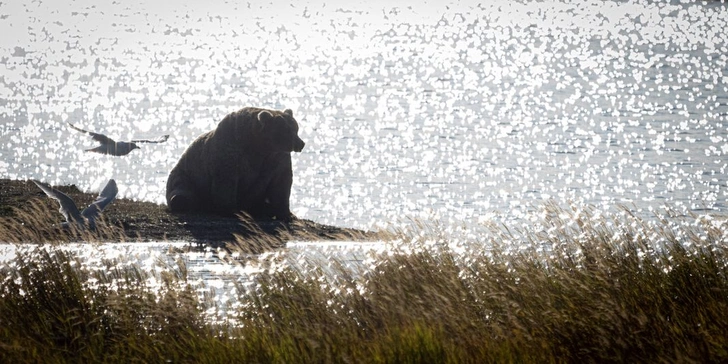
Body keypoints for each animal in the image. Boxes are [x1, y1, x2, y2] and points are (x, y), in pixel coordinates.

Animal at [166, 106, 306, 220]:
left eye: (296, 128)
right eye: (286, 130)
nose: (301, 143)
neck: (260, 146)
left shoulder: (277, 160)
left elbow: (281, 183)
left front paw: (287, 214)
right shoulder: (231, 153)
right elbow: (227, 180)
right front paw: (230, 210)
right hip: (186, 176)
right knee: (182, 194)